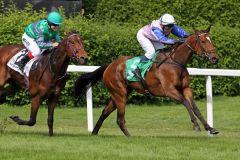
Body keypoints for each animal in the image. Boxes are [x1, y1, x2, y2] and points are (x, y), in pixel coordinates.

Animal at [74, 26, 219, 136]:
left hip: (119, 94)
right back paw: (130, 136)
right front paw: (196, 126)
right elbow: (186, 103)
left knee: (105, 112)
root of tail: (109, 65)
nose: (215, 58)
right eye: (203, 41)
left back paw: (94, 132)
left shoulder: (186, 89)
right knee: (120, 119)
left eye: (210, 40)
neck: (176, 62)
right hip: (120, 94)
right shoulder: (170, 90)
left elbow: (195, 107)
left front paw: (210, 128)